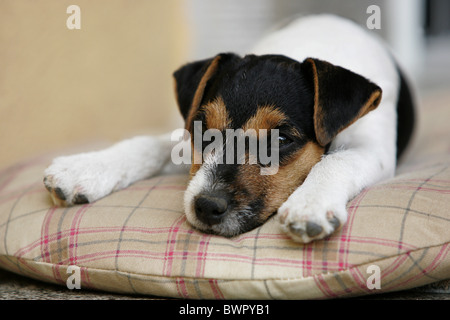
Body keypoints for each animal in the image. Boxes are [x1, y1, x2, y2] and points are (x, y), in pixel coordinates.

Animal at [43, 15, 414, 242]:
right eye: (203, 130)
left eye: (281, 138)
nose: (206, 206)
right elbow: (148, 144)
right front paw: (84, 168)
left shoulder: (373, 149)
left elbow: (335, 160)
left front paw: (310, 203)